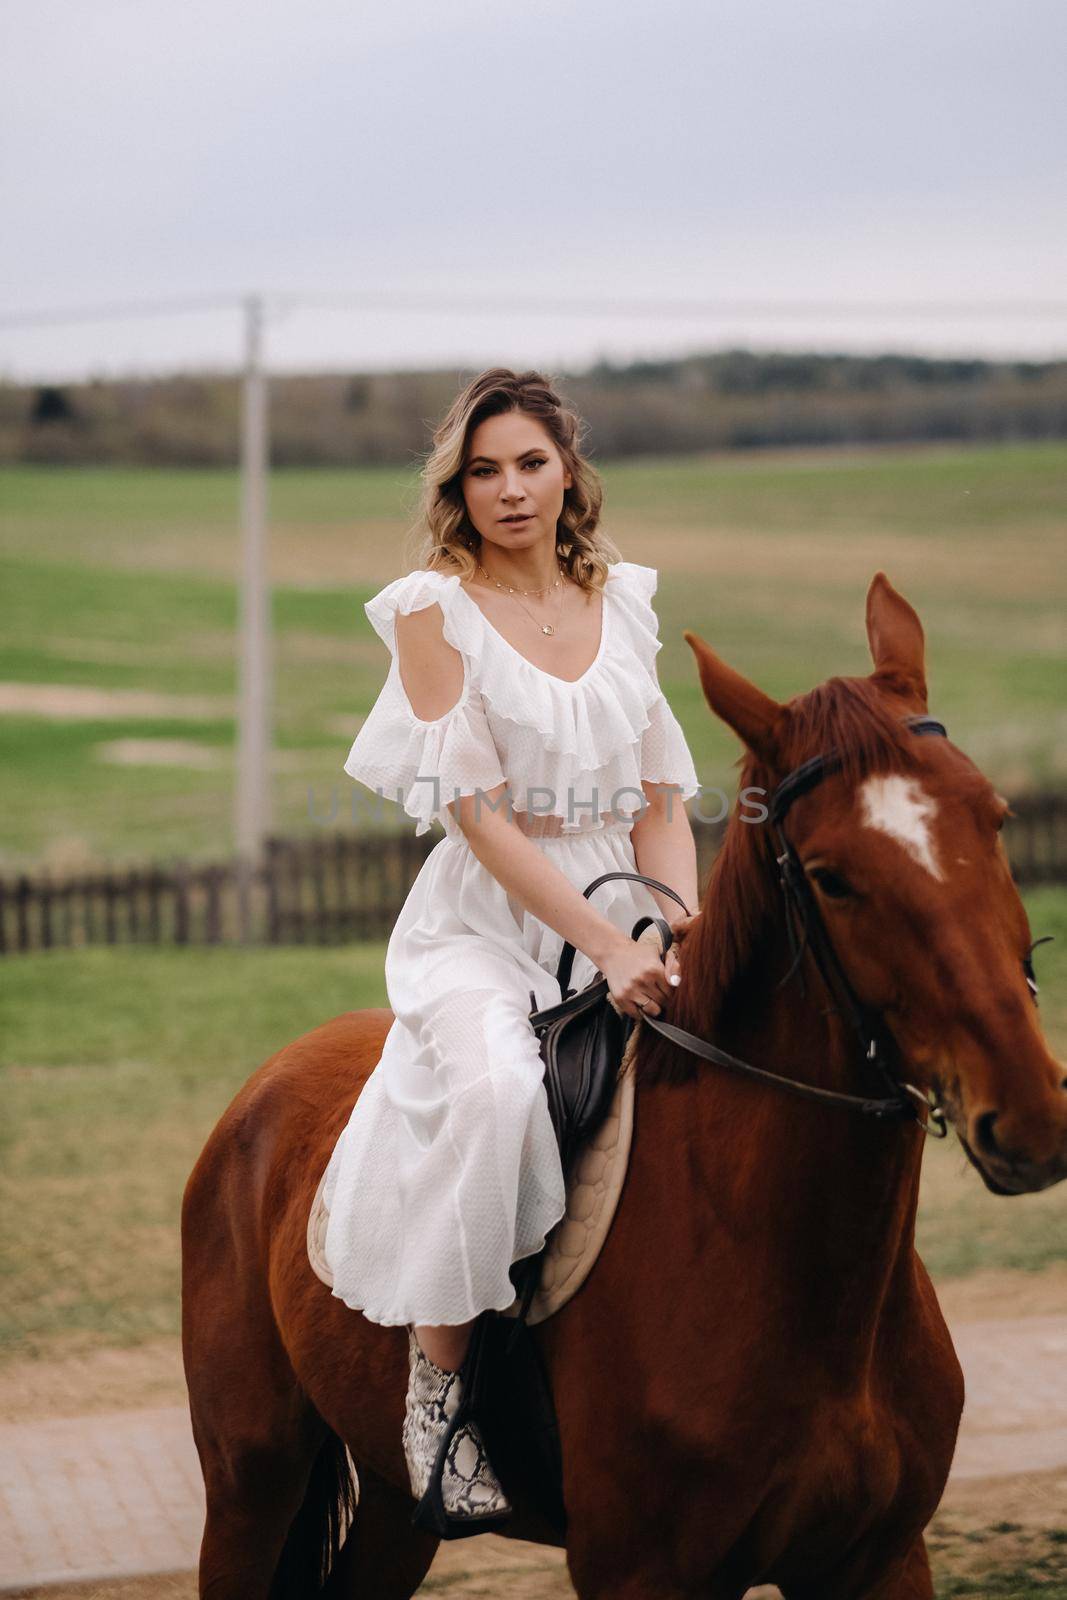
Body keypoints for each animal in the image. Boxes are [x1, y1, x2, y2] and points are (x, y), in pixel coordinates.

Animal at [179, 569, 1062, 1593]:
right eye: (832, 877)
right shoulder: (639, 1571)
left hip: (397, 1512)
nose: (1029, 1116)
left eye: (995, 819)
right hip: (249, 1481)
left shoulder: (879, 1556)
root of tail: (262, 1090)